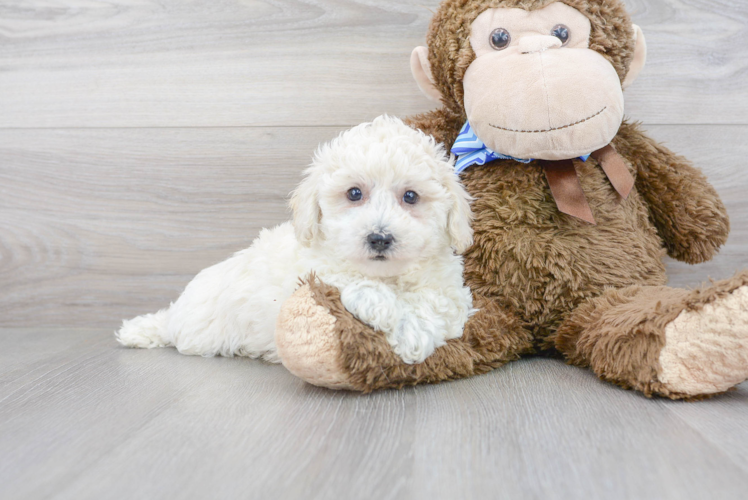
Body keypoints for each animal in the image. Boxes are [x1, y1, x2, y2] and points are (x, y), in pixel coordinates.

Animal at [117, 115, 474, 366]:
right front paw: (389, 311)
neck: (388, 275)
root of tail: (175, 315)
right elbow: (351, 282)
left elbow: (435, 305)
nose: (379, 238)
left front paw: (412, 331)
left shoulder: (450, 291)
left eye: (410, 196)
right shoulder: (315, 273)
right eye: (354, 193)